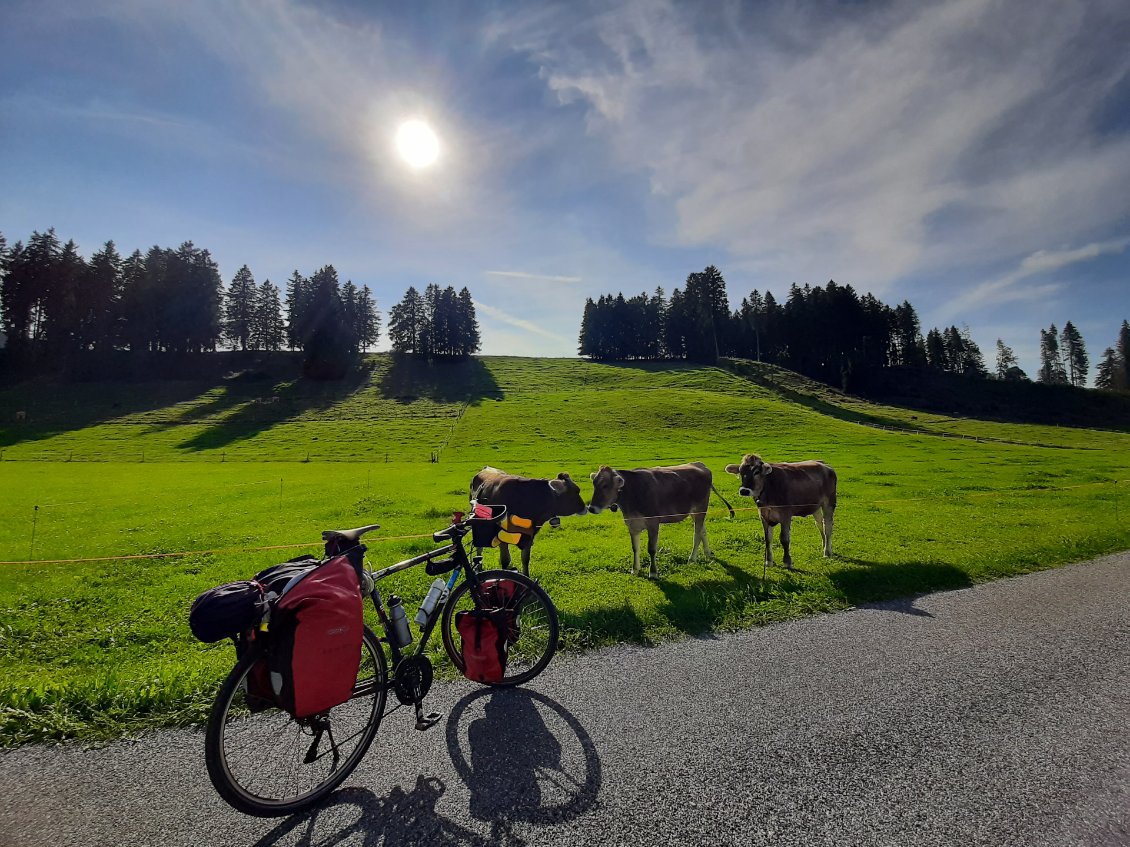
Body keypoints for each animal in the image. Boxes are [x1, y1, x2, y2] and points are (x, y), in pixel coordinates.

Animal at [587, 465, 736, 578]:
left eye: (605, 485)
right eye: (594, 484)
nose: (591, 508)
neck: (633, 494)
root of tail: (701, 466)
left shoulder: (653, 523)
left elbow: (652, 549)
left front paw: (653, 572)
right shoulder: (632, 524)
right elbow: (635, 548)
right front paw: (635, 569)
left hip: (701, 509)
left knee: (697, 534)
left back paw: (692, 558)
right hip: (695, 512)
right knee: (703, 531)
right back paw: (707, 553)